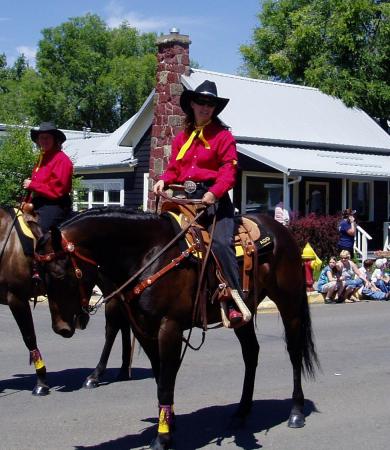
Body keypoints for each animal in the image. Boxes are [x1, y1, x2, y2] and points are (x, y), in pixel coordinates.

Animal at [35, 207, 318, 450]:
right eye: (39, 277)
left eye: (59, 274)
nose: (61, 328)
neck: (149, 255)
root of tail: (281, 230)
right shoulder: (143, 330)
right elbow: (160, 376)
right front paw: (168, 423)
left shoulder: (169, 328)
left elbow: (165, 382)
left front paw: (162, 438)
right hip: (242, 313)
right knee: (251, 353)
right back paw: (241, 413)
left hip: (290, 304)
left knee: (294, 353)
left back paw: (295, 412)